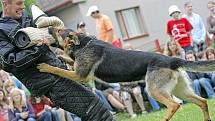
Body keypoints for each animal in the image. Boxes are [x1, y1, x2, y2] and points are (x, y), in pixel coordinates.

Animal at [36, 28, 212, 120]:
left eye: (58, 31)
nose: (47, 28)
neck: (83, 44)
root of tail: (172, 59)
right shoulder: (78, 70)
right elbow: (68, 62)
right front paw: (61, 56)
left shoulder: (80, 76)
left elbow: (59, 70)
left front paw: (45, 66)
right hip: (180, 90)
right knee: (202, 101)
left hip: (154, 90)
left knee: (174, 105)